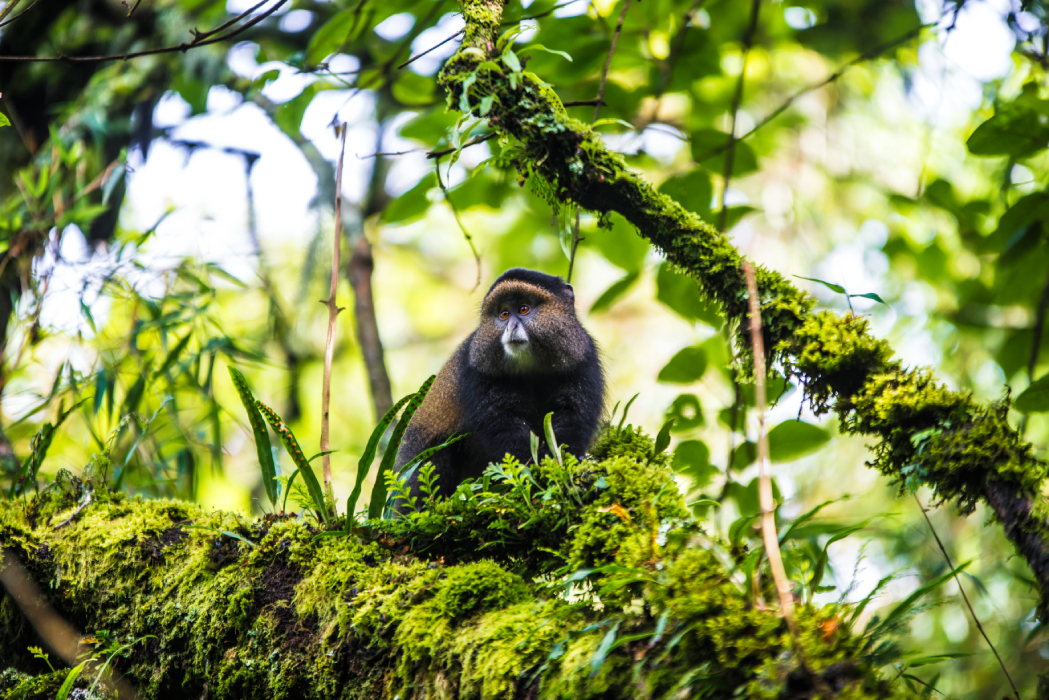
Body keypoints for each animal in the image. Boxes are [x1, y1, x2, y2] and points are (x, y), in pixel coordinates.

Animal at [393, 268, 605, 505]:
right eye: (503, 314)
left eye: (523, 309)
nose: (511, 326)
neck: (531, 369)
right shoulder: (479, 371)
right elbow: (502, 424)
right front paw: (531, 468)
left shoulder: (583, 360)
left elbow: (572, 415)